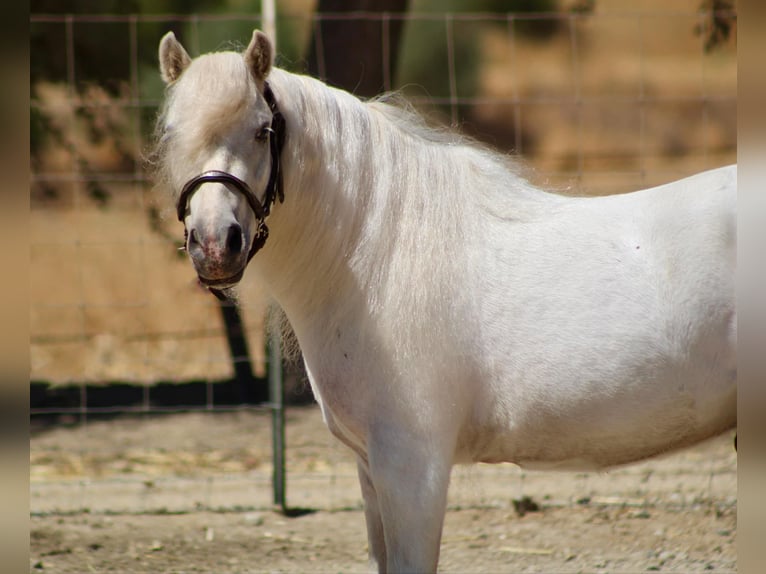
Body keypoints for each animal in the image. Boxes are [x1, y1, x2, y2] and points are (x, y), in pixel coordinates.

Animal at [156, 30, 736, 572]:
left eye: (263, 130)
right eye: (171, 134)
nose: (215, 245)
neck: (381, 256)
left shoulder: (413, 469)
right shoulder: (371, 470)